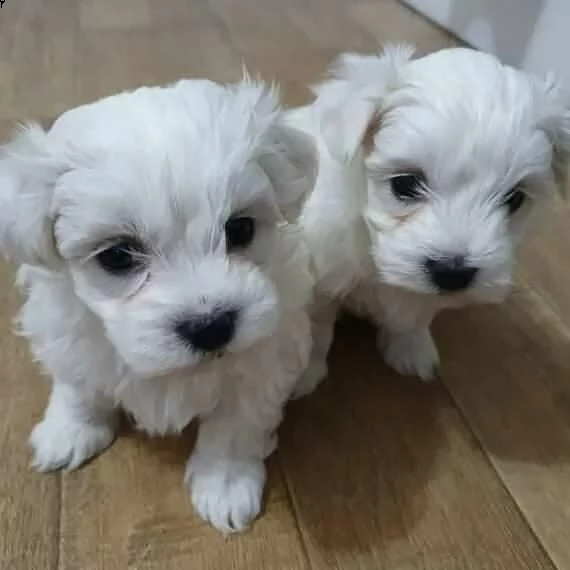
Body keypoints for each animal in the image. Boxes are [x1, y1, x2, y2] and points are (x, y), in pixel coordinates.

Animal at [0, 77, 316, 532]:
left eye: (240, 228)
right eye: (117, 256)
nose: (211, 325)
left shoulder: (263, 360)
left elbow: (236, 423)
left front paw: (225, 483)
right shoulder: (68, 335)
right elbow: (78, 385)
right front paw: (71, 431)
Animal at [288, 46, 568, 390]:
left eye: (514, 199)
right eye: (405, 184)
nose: (452, 272)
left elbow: (417, 314)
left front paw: (411, 349)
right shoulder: (324, 273)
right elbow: (317, 326)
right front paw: (304, 375)